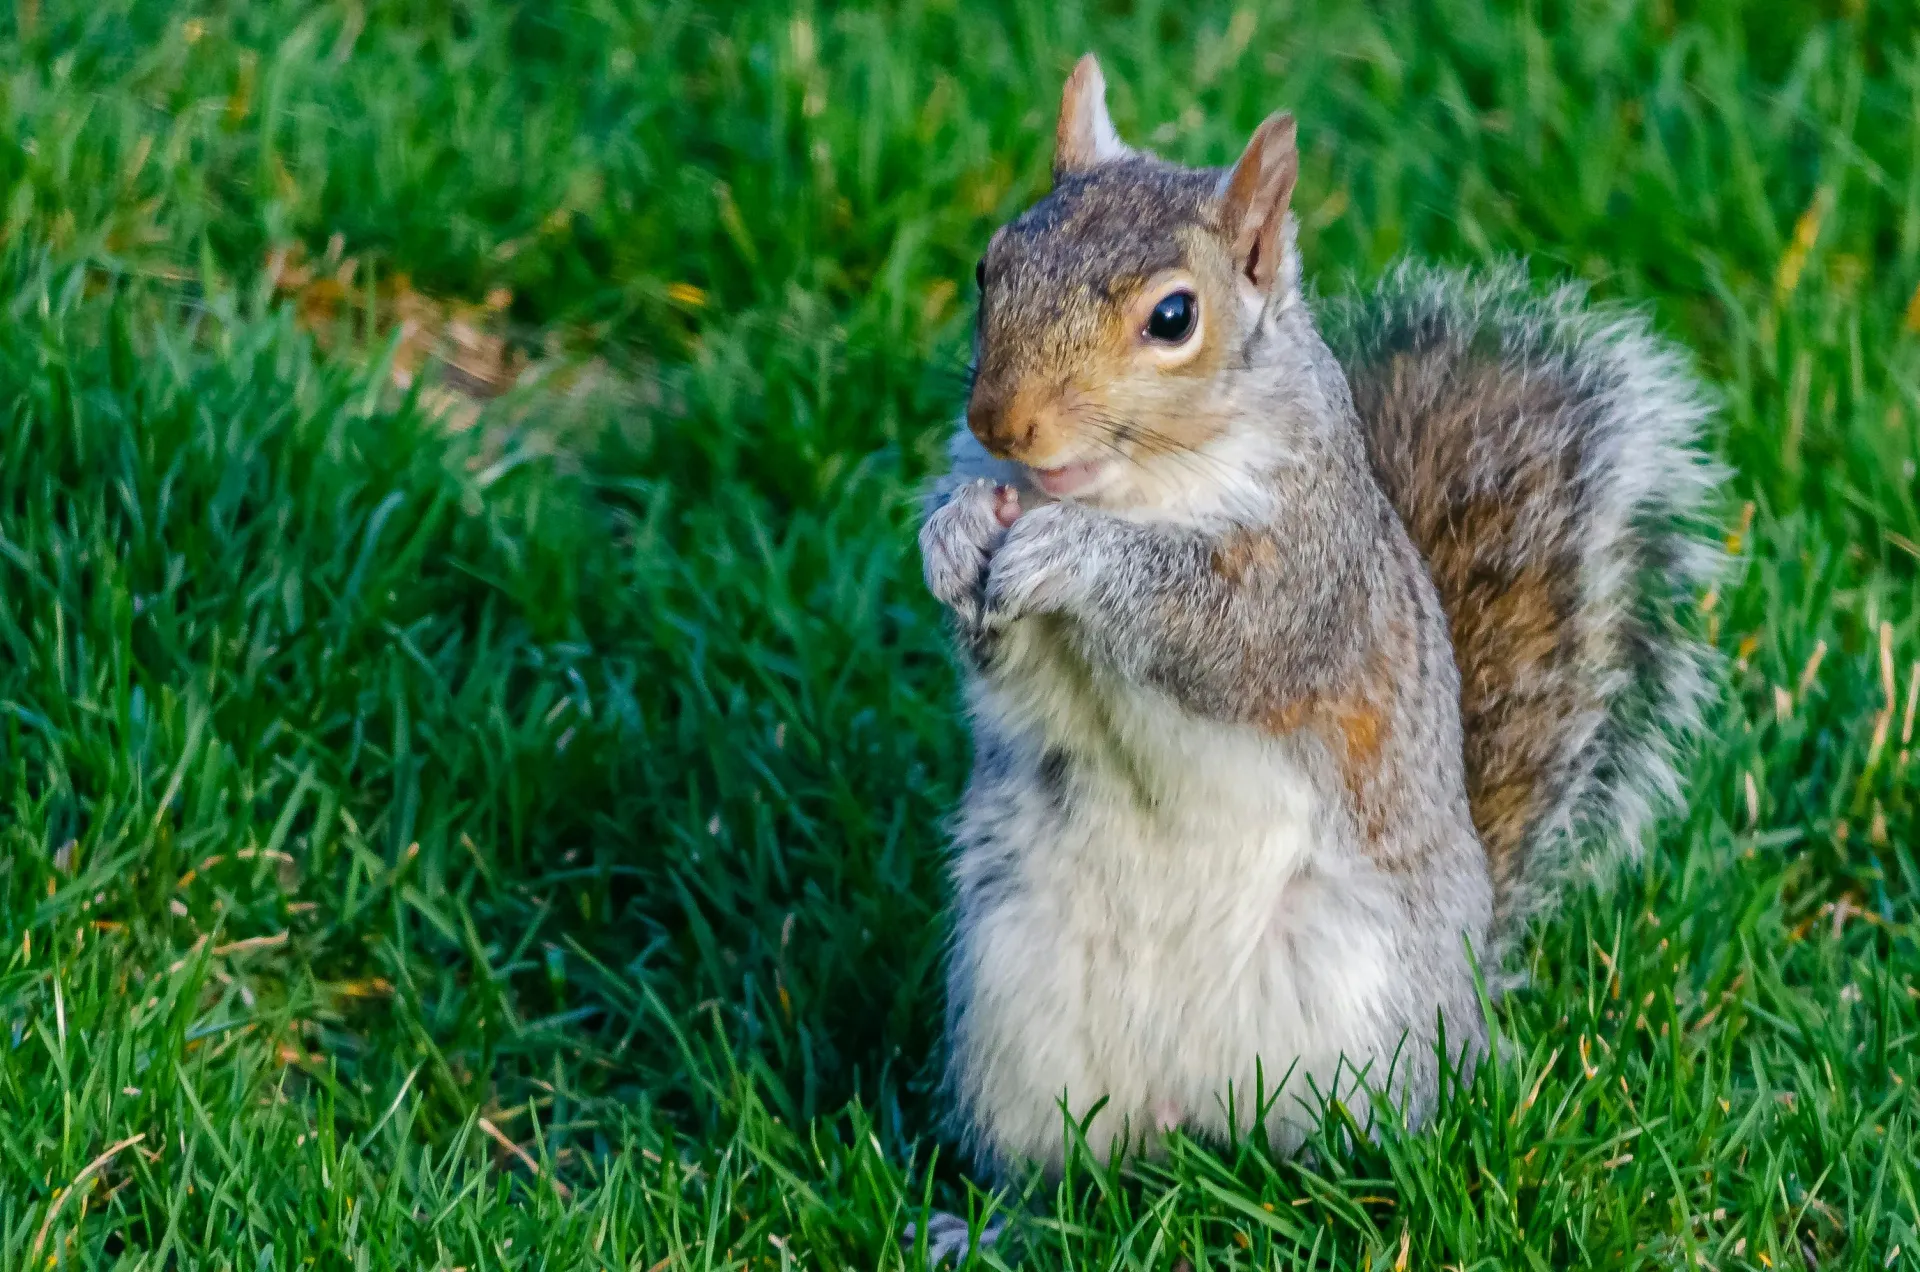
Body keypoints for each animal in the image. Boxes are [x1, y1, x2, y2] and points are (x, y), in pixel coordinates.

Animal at [917, 54, 1722, 1201]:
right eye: (992, 265)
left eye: (1174, 318)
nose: (1001, 423)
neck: (1132, 489)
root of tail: (1187, 1121)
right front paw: (950, 536)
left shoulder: (1309, 576)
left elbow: (1221, 631)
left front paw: (1073, 555)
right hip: (1014, 1006)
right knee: (1053, 1171)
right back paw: (995, 1218)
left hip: (1364, 1013)